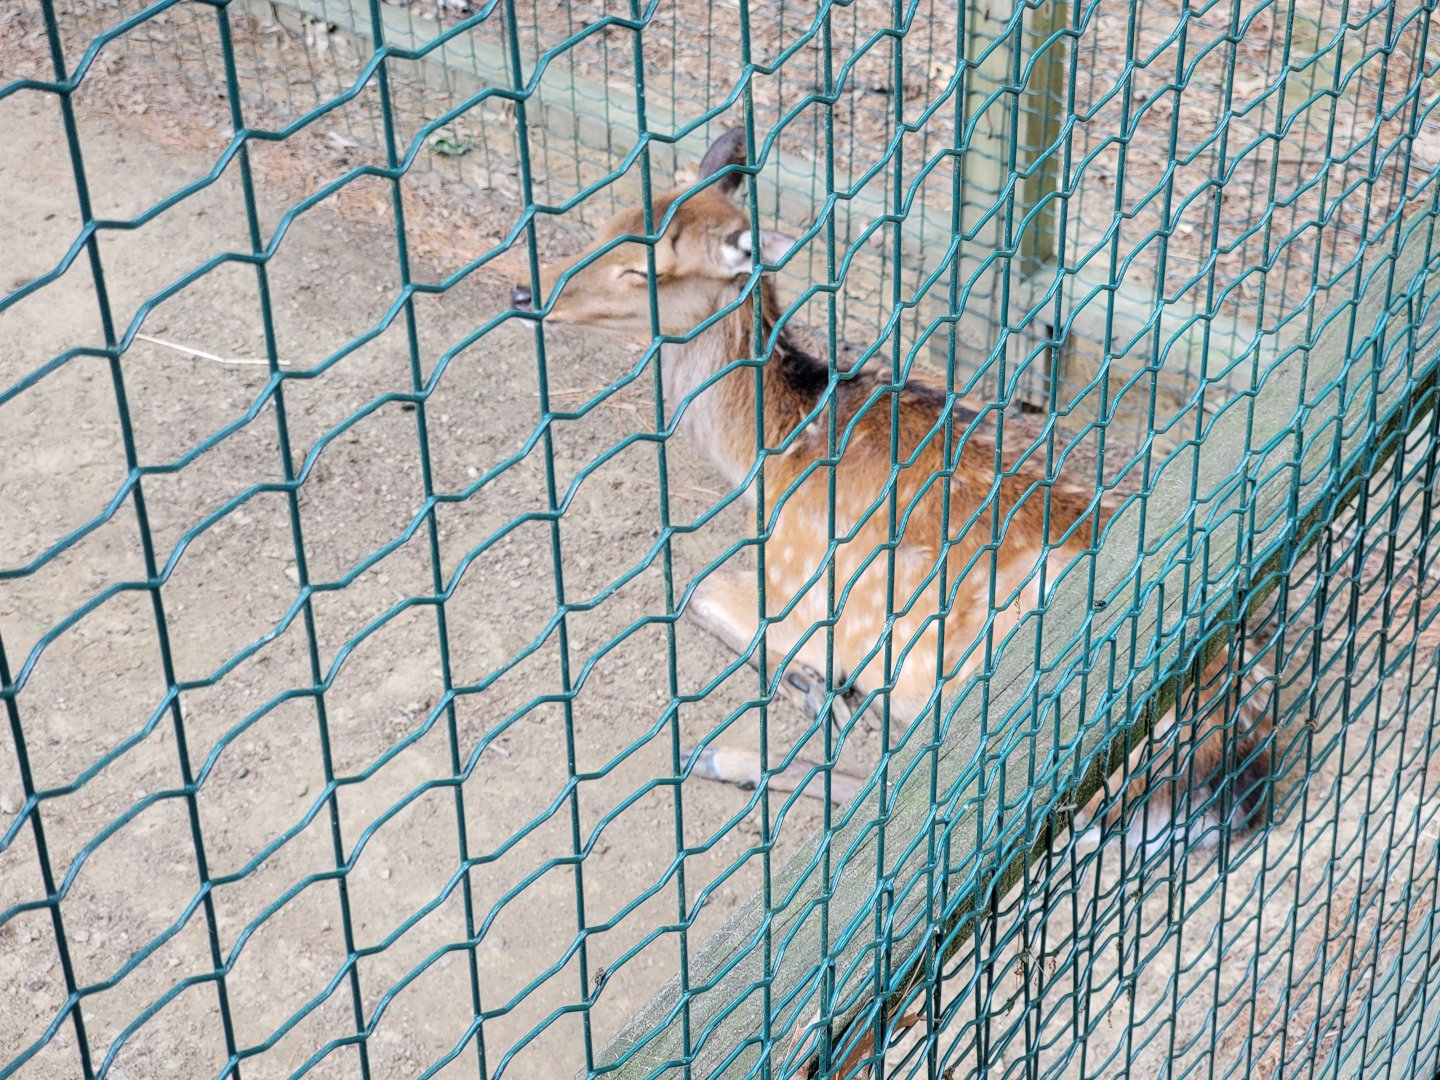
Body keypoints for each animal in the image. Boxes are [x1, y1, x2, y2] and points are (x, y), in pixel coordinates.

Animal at [509, 127, 1274, 856]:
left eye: (642, 270)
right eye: (610, 219)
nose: (525, 290)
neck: (773, 456)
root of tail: (1234, 775)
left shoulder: (796, 580)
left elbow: (696, 591)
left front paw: (815, 683)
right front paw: (814, 686)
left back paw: (734, 748)